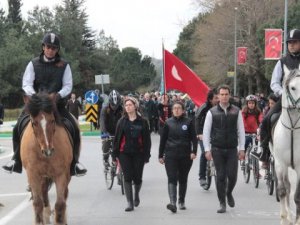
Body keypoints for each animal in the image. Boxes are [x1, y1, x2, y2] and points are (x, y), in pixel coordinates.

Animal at [20, 92, 72, 224]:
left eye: (53, 120)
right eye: (34, 123)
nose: (48, 151)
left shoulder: (61, 174)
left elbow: (60, 204)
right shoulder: (33, 174)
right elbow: (38, 203)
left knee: (64, 197)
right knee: (44, 196)